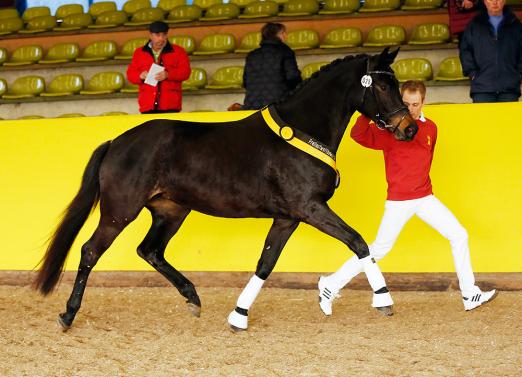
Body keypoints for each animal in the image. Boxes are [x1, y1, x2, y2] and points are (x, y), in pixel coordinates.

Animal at [33, 47, 414, 328]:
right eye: (382, 86)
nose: (408, 128)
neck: (301, 131)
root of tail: (116, 142)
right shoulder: (310, 207)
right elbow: (359, 242)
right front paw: (384, 300)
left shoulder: (288, 217)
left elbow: (266, 263)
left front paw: (239, 316)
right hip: (120, 210)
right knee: (90, 251)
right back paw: (68, 314)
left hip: (171, 210)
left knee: (150, 250)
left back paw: (192, 298)